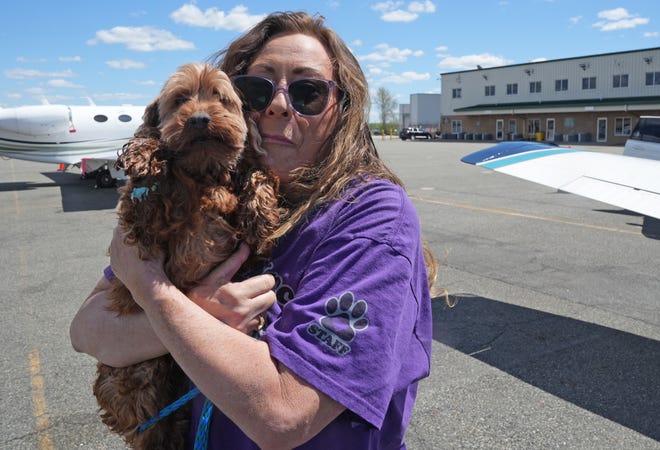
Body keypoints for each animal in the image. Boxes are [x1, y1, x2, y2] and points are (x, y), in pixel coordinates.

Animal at [92, 63, 282, 450]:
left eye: (220, 98)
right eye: (179, 100)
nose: (198, 119)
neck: (203, 173)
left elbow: (258, 171)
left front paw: (262, 213)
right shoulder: (142, 226)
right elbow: (145, 187)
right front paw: (146, 153)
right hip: (138, 376)